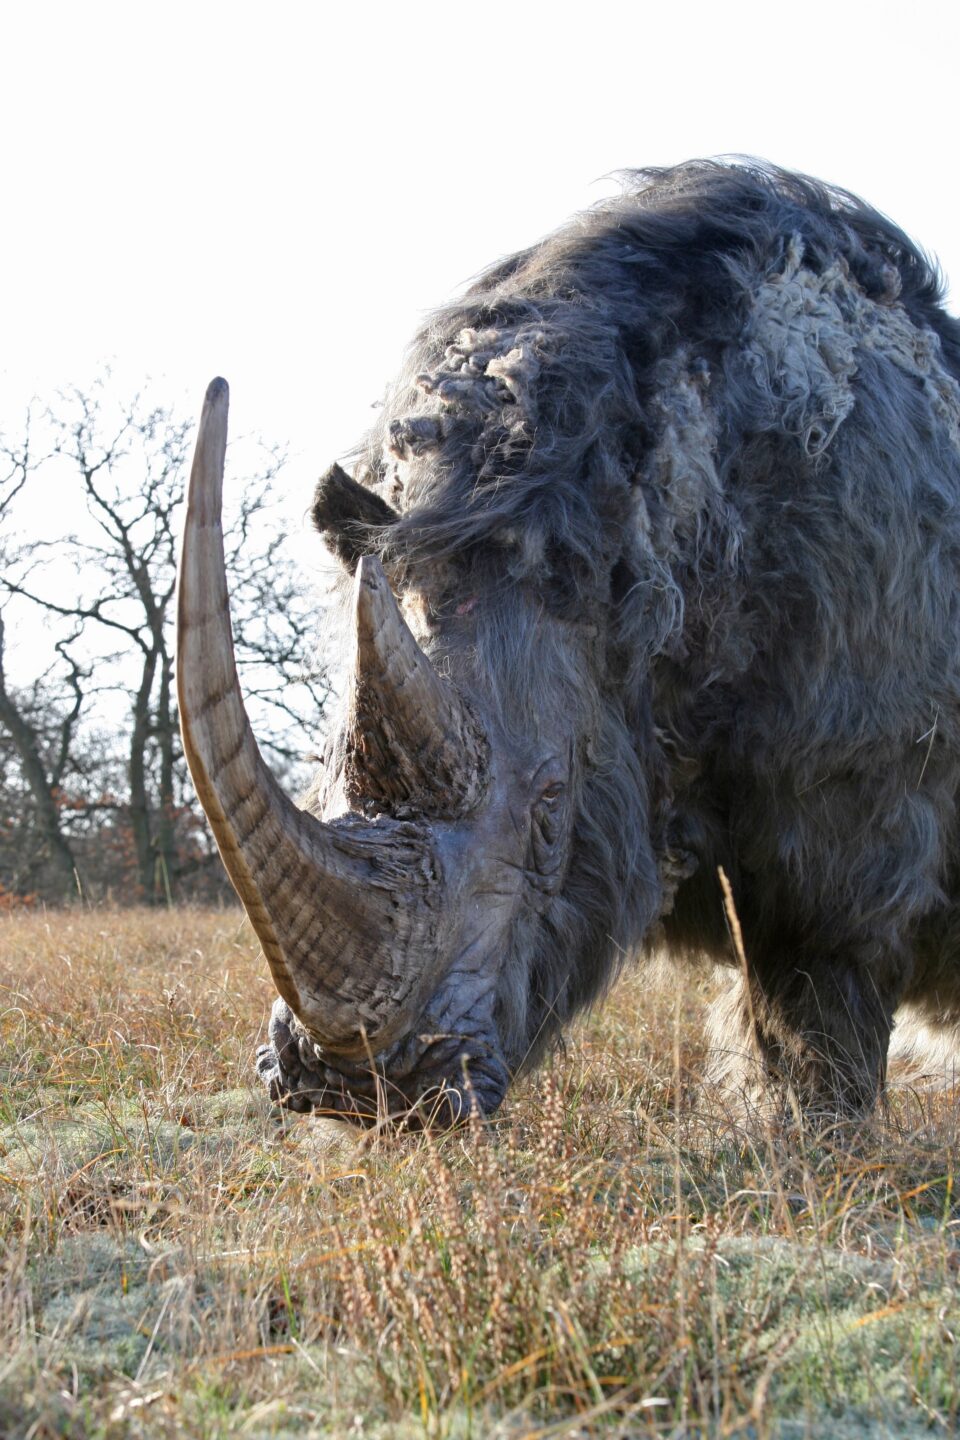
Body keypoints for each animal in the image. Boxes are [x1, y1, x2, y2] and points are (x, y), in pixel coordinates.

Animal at [178, 161, 960, 1126]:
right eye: (322, 773)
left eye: (553, 811)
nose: (360, 1089)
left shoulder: (855, 786)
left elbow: (814, 980)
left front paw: (813, 1143)